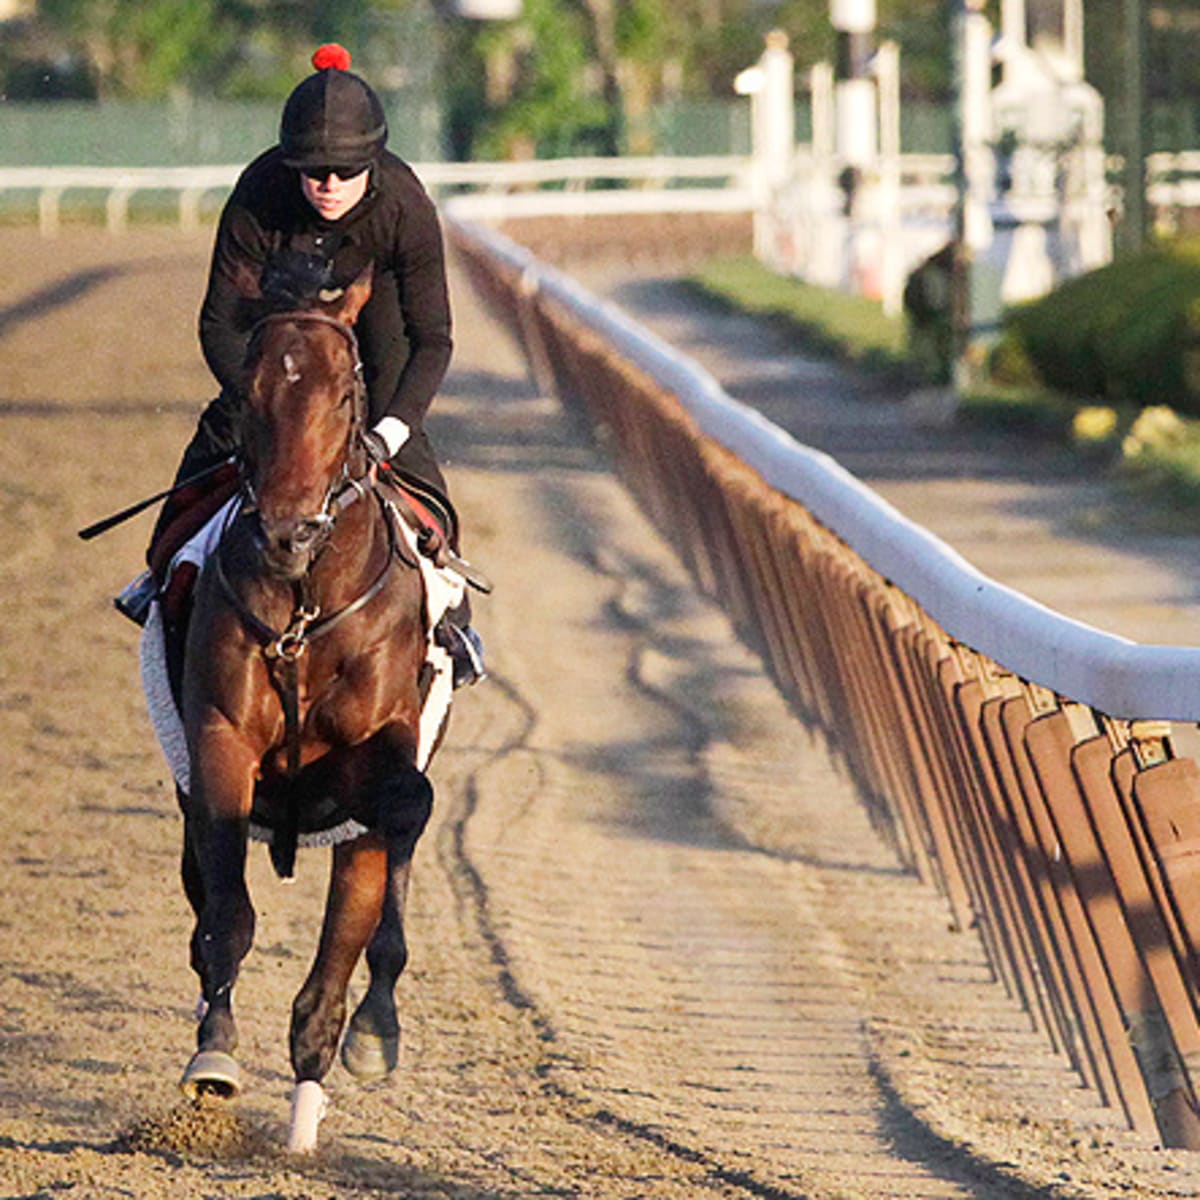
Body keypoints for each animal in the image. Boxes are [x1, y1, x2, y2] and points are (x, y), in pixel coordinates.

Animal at [170, 265, 451, 1152]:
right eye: (251, 386)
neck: (304, 603)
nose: (287, 534)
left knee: (347, 946)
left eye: (344, 390)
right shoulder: (219, 742)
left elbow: (406, 812)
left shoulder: (381, 754)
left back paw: (319, 1087)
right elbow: (228, 914)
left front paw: (370, 1027)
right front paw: (214, 1055)